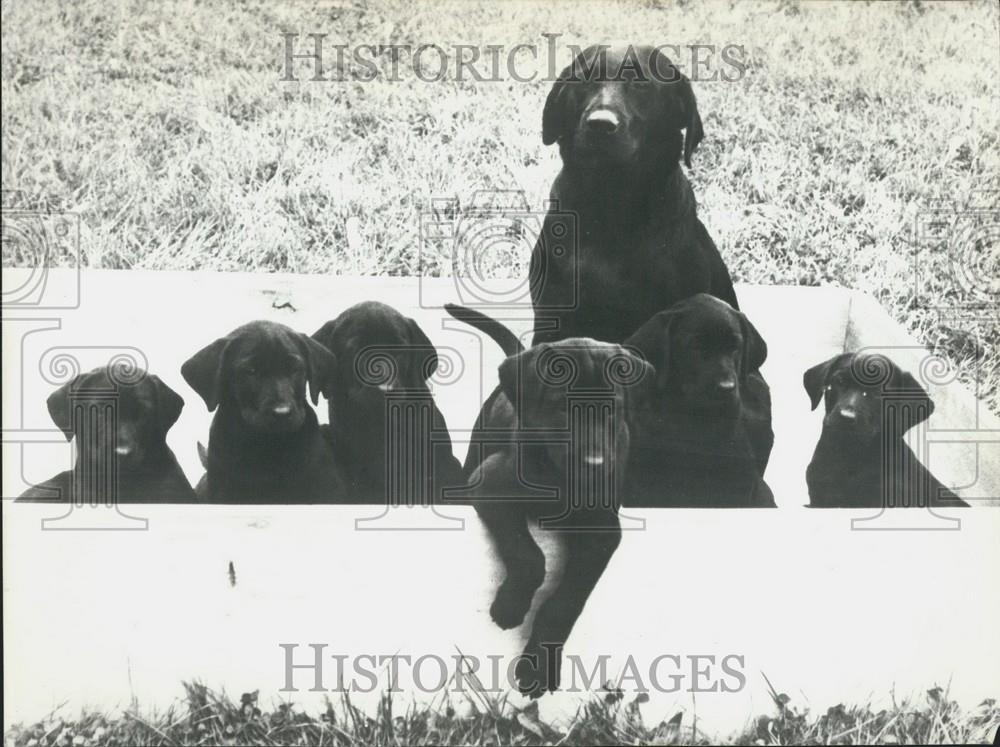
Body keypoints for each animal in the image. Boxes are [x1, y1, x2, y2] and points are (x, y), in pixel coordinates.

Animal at [444, 302, 648, 696]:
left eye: (612, 408)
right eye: (561, 407)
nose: (595, 465)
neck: (559, 477)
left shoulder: (602, 529)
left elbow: (568, 599)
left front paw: (540, 665)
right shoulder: (491, 484)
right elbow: (529, 554)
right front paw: (510, 605)